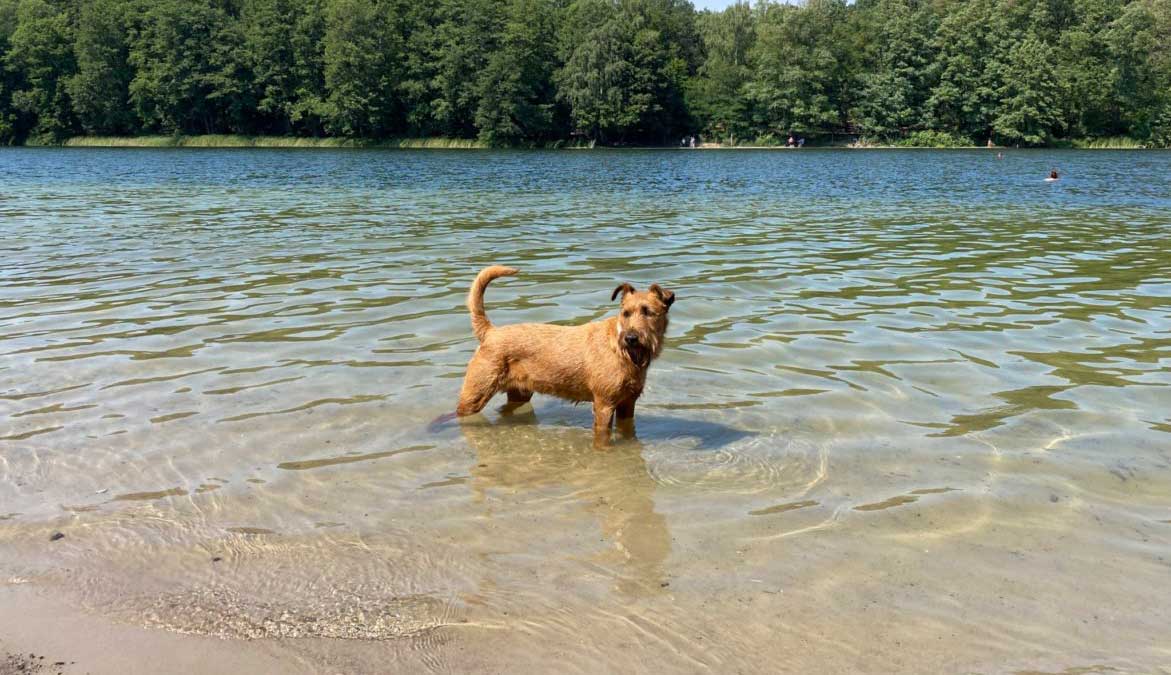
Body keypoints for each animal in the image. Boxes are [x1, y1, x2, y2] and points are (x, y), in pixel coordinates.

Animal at [456, 264, 679, 447]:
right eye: (625, 313)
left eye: (648, 312)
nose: (631, 338)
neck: (622, 351)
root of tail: (490, 332)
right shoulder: (604, 405)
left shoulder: (627, 403)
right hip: (474, 395)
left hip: (520, 393)